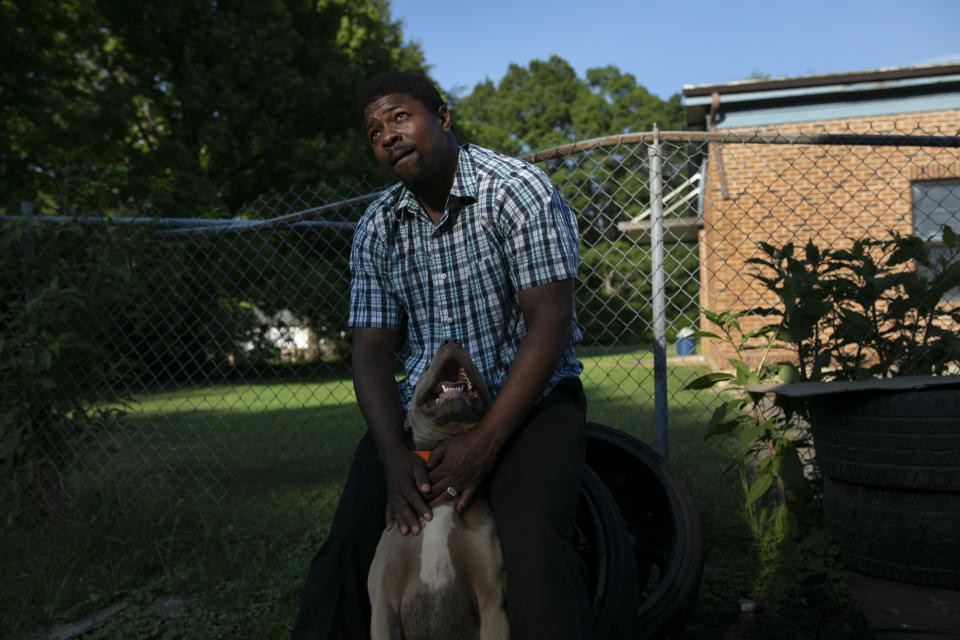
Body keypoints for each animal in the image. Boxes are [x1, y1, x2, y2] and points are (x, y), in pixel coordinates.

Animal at [368, 338, 510, 636]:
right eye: (424, 370)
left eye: (475, 364)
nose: (452, 340)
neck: (443, 503)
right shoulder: (383, 601)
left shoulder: (493, 599)